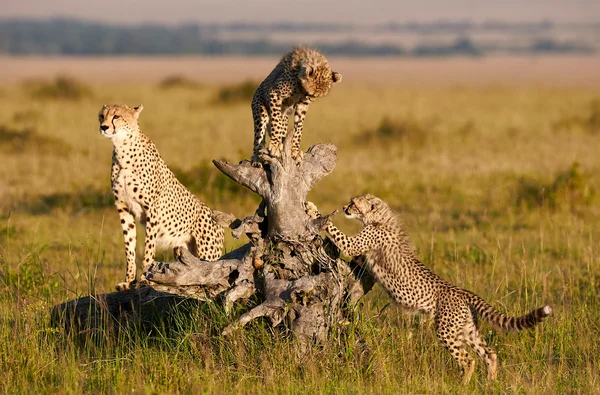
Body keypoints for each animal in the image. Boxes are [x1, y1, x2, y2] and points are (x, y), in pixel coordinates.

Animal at [98, 104, 232, 290]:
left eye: (116, 116)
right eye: (101, 116)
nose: (103, 127)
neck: (122, 147)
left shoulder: (152, 209)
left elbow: (148, 248)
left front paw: (145, 279)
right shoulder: (123, 208)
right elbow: (129, 247)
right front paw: (129, 281)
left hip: (207, 252)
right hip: (182, 250)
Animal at [308, 197, 552, 384]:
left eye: (353, 203)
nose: (344, 207)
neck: (379, 219)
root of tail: (462, 291)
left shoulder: (357, 244)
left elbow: (336, 232)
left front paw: (312, 209)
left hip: (446, 330)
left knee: (468, 359)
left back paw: (463, 384)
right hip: (466, 329)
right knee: (489, 353)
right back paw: (490, 383)